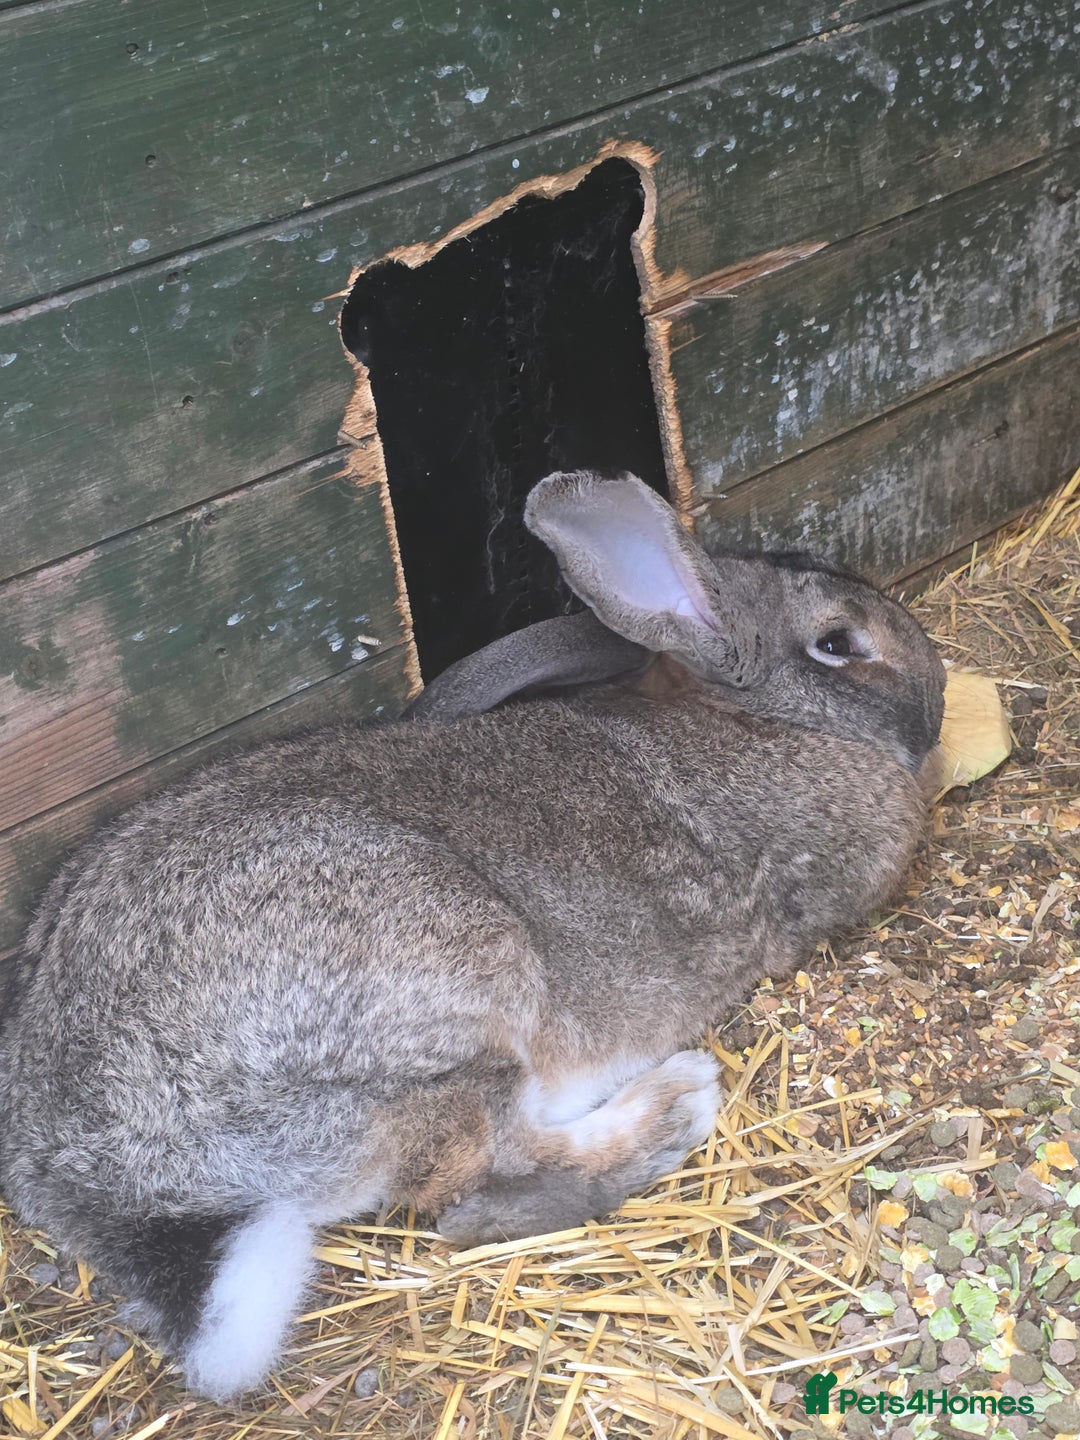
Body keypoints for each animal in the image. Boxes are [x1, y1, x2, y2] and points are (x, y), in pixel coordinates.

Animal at [0, 471, 945, 1402]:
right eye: (838, 643)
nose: (937, 702)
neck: (756, 719)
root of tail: (96, 1162)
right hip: (454, 977)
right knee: (476, 1185)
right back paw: (675, 1103)